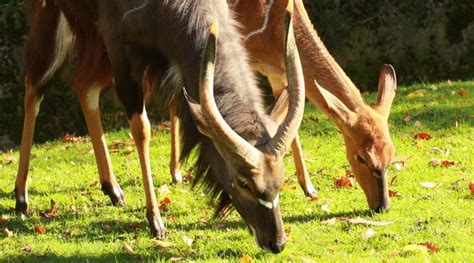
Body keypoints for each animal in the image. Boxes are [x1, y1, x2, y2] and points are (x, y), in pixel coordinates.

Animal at [16, 0, 304, 254]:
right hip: (55, 20)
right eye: (243, 182)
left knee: (84, 86)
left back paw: (113, 190)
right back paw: (21, 197)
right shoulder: (120, 48)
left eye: (280, 181)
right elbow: (142, 129)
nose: (276, 242)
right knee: (34, 87)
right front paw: (156, 222)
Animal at [169, 0, 396, 211]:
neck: (273, 25)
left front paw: (309, 189)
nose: (382, 206)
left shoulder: (278, 73)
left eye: (391, 154)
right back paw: (176, 173)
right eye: (362, 157)